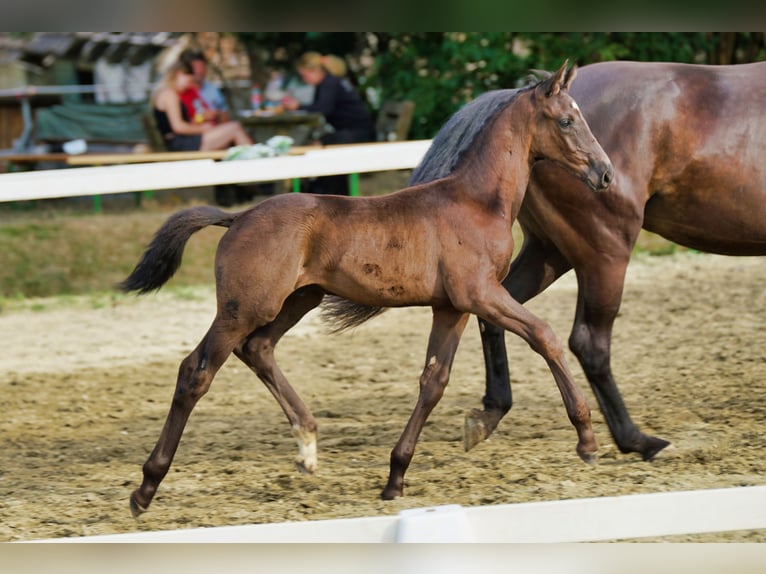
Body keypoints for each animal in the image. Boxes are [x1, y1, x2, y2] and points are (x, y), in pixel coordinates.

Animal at [120, 61, 612, 516]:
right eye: (566, 120)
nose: (605, 174)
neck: (476, 201)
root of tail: (238, 217)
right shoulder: (481, 294)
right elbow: (544, 335)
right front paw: (587, 440)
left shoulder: (452, 306)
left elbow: (434, 381)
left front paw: (395, 478)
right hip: (244, 308)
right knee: (196, 370)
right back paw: (145, 488)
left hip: (299, 300)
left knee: (257, 349)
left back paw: (307, 449)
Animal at [451, 60, 766, 459]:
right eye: (567, 122)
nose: (603, 172)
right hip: (605, 253)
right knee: (589, 342)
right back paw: (638, 440)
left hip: (550, 252)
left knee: (500, 313)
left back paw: (489, 414)